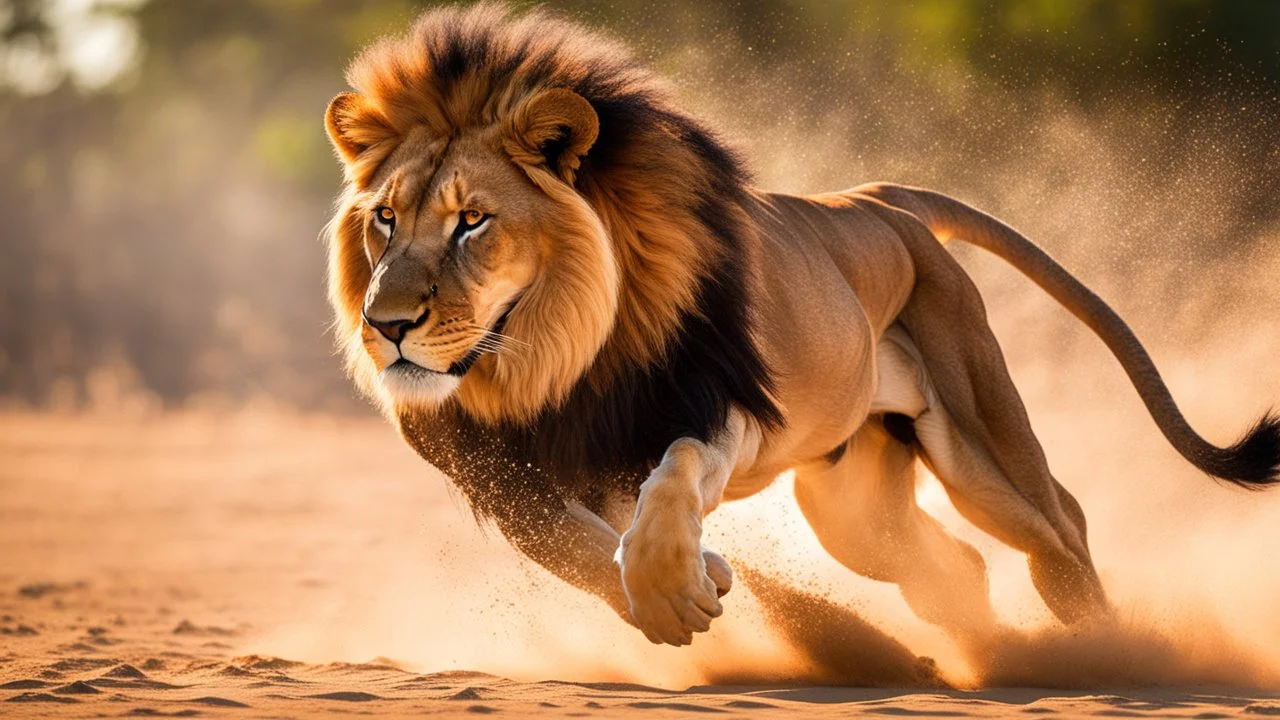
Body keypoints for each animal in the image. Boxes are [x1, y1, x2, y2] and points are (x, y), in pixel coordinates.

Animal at [322, 4, 1280, 645]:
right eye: (385, 220)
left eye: (472, 221)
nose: (387, 324)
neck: (548, 358)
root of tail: (877, 200)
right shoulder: (500, 479)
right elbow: (572, 546)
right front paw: (698, 580)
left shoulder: (715, 411)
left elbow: (668, 486)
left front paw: (674, 584)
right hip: (854, 509)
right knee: (949, 569)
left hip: (985, 454)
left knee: (1062, 532)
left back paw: (1115, 652)